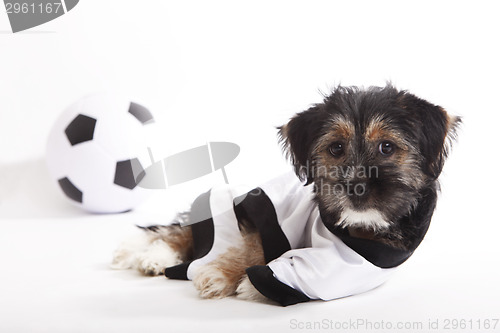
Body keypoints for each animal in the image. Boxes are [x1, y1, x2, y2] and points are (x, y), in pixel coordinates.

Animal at [111, 84, 458, 304]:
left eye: (387, 147)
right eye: (336, 149)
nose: (356, 185)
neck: (357, 228)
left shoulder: (336, 271)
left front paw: (246, 285)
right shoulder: (271, 217)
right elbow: (252, 248)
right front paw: (219, 275)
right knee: (178, 233)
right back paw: (153, 256)